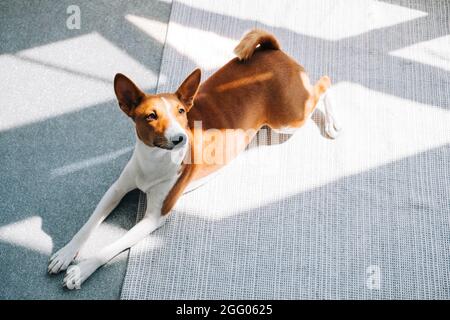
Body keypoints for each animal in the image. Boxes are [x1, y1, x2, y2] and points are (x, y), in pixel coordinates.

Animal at [47, 30, 340, 290]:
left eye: (181, 112)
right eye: (151, 116)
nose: (180, 139)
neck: (155, 160)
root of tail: (272, 50)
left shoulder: (154, 217)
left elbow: (111, 247)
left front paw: (82, 270)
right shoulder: (116, 190)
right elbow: (87, 225)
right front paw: (66, 253)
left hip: (288, 120)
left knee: (325, 84)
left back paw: (332, 122)